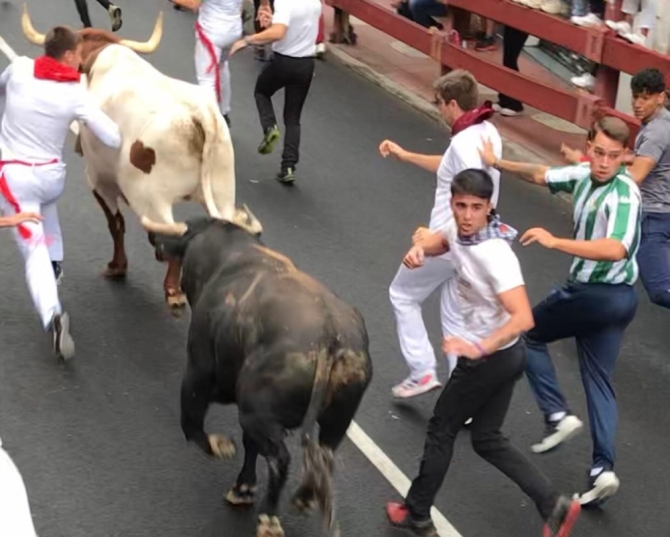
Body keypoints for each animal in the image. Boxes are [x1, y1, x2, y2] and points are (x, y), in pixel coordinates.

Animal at [21, 3, 238, 310]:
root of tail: (198, 115)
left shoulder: (98, 180)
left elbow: (116, 224)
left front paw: (118, 266)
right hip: (222, 195)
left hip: (153, 200)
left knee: (173, 232)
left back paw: (173, 291)